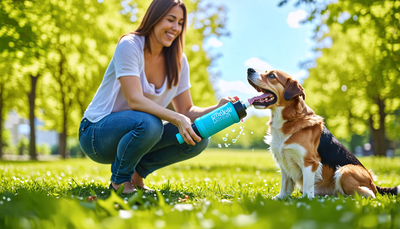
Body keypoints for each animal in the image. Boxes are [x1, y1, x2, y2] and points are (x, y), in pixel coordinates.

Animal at [245, 67, 398, 199]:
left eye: (272, 75)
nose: (249, 69)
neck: (290, 120)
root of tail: (373, 183)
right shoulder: (283, 162)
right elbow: (285, 185)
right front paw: (280, 198)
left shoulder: (309, 163)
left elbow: (307, 187)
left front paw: (306, 201)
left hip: (344, 170)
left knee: (368, 194)